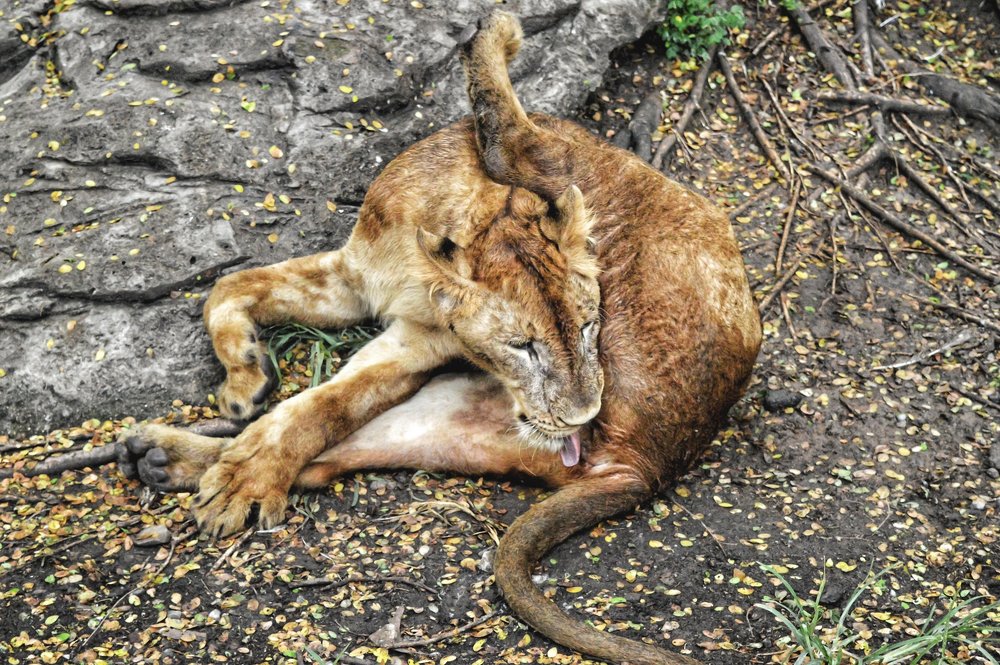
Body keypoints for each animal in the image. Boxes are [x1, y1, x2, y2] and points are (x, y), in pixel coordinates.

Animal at [118, 12, 761, 665]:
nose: (584, 415)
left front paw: (246, 480)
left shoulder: (418, 346)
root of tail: (653, 465)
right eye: (522, 347)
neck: (450, 231)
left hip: (597, 197)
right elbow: (228, 289)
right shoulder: (354, 281)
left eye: (587, 327)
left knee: (514, 139)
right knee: (344, 451)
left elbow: (319, 406)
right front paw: (246, 382)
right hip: (461, 418)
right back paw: (164, 458)